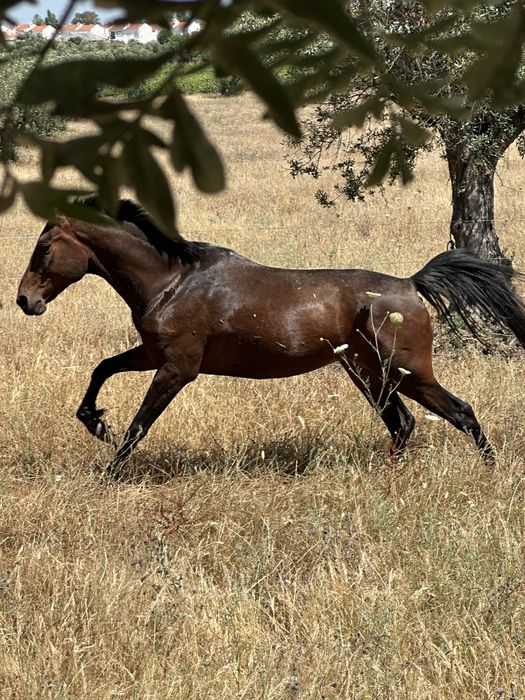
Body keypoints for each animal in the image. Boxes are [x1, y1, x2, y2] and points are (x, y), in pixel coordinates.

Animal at [16, 198, 525, 479]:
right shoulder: (153, 353)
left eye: (44, 247)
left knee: (459, 412)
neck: (172, 280)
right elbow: (102, 368)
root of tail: (410, 284)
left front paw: (109, 473)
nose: (24, 300)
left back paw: (490, 473)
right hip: (369, 373)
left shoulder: (177, 367)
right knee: (401, 423)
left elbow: (139, 425)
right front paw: (95, 422)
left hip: (407, 371)